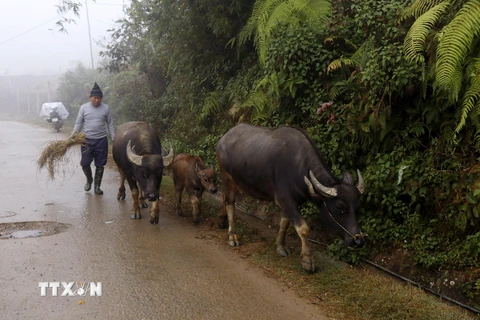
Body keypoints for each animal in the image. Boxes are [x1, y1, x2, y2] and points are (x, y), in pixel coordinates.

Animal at [216, 124, 366, 272]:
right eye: (340, 207)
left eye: (358, 207)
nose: (357, 241)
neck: (298, 167)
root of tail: (224, 139)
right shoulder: (284, 199)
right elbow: (303, 228)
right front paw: (308, 260)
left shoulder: (294, 202)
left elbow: (285, 223)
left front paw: (281, 246)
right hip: (227, 177)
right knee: (230, 203)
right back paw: (232, 236)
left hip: (237, 182)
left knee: (224, 198)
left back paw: (221, 221)